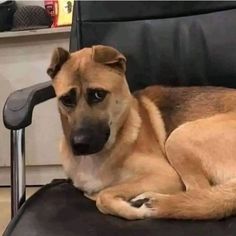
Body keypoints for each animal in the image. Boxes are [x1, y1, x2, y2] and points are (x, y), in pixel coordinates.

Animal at [47, 45, 236, 220]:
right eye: (66, 100)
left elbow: (103, 195)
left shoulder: (165, 175)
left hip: (178, 137)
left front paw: (131, 209)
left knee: (198, 193)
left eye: (98, 95)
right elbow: (97, 193)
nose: (80, 144)